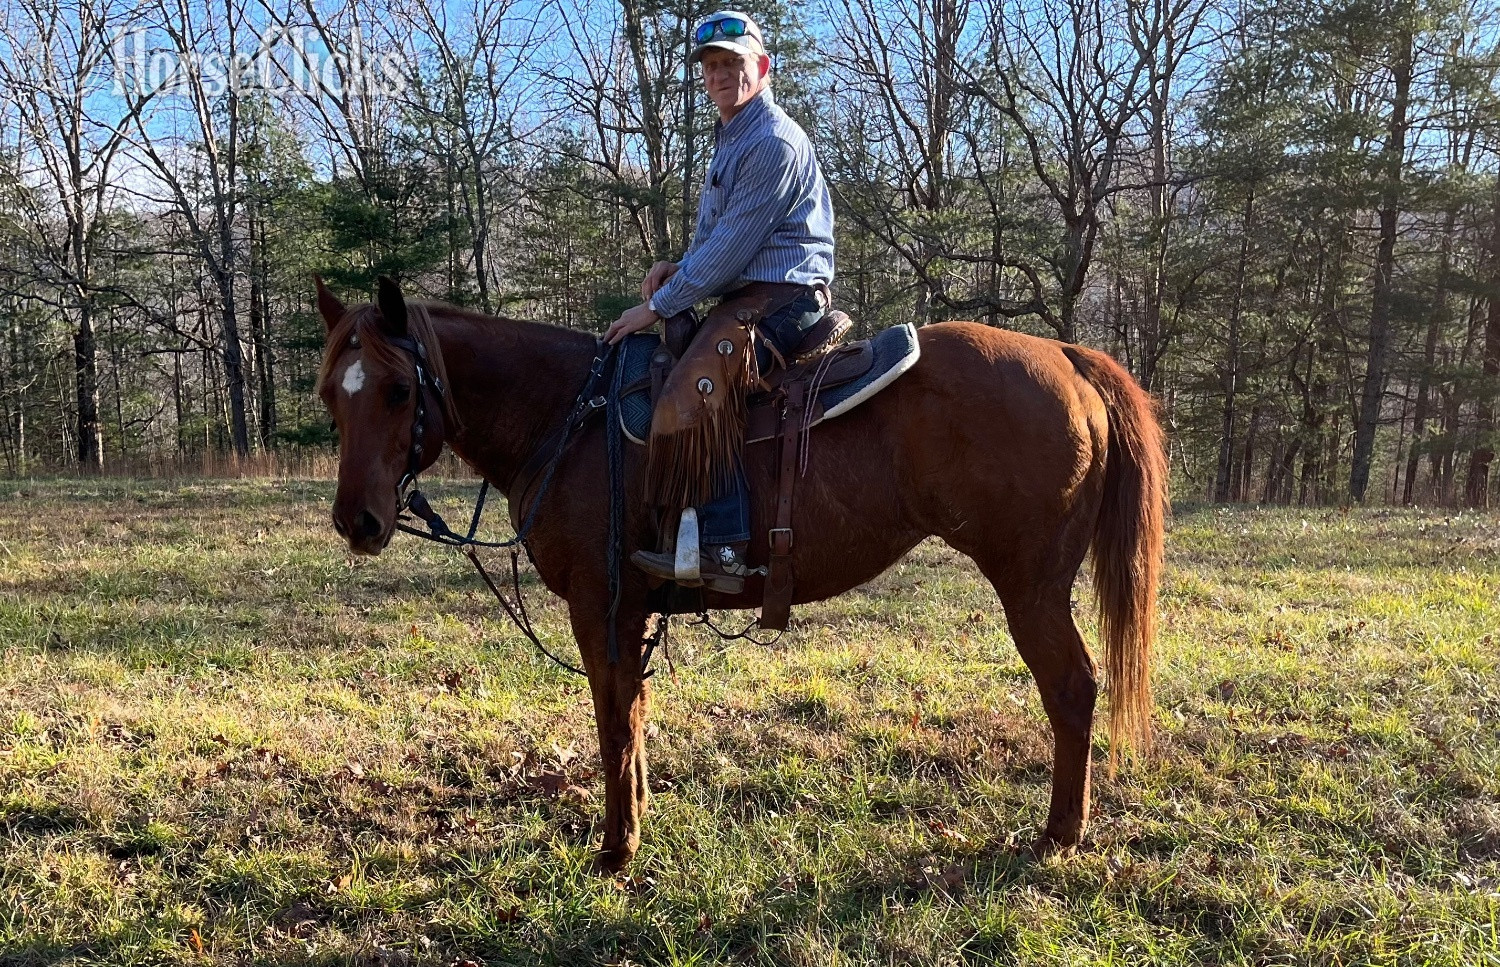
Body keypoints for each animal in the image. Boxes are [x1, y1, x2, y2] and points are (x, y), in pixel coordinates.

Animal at [315, 276, 1167, 871]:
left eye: (399, 389)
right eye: (331, 394)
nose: (358, 521)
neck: (571, 415)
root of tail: (1067, 356)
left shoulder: (601, 606)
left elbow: (611, 719)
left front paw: (616, 846)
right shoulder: (635, 611)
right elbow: (635, 711)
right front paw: (639, 816)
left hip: (1031, 587)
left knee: (1072, 688)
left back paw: (1059, 833)